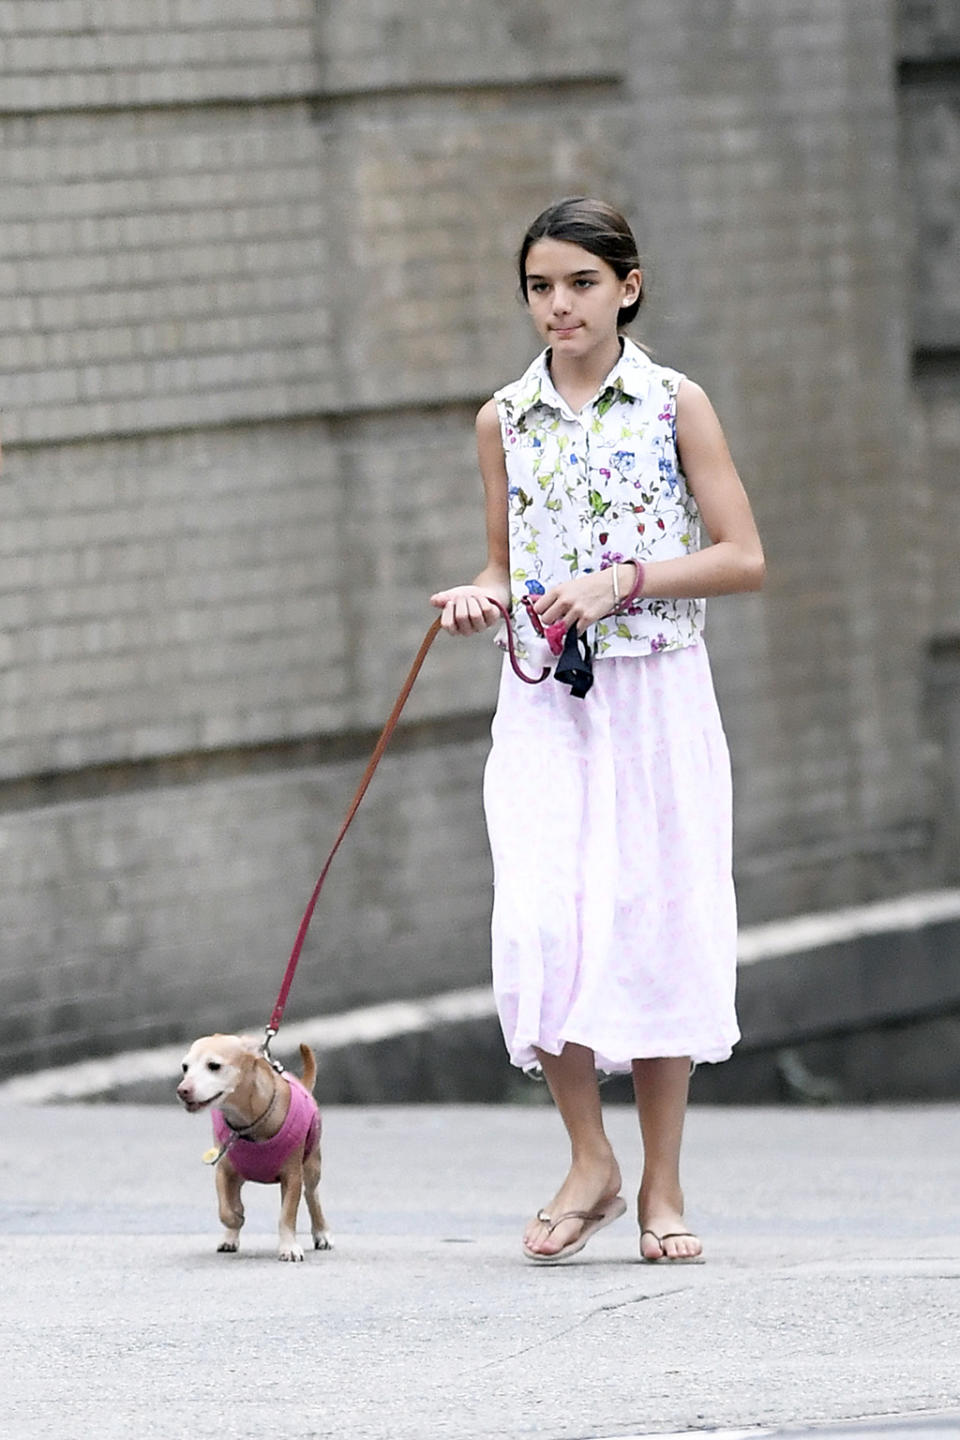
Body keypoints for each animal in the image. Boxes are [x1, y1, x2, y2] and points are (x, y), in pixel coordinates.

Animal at [178, 1036, 332, 1261]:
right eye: (185, 1067)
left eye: (214, 1066)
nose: (182, 1090)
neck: (248, 1121)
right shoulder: (223, 1171)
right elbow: (226, 1208)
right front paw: (235, 1219)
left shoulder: (293, 1177)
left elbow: (287, 1214)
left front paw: (289, 1247)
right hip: (240, 1175)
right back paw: (230, 1237)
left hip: (312, 1167)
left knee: (312, 1196)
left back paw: (322, 1233)